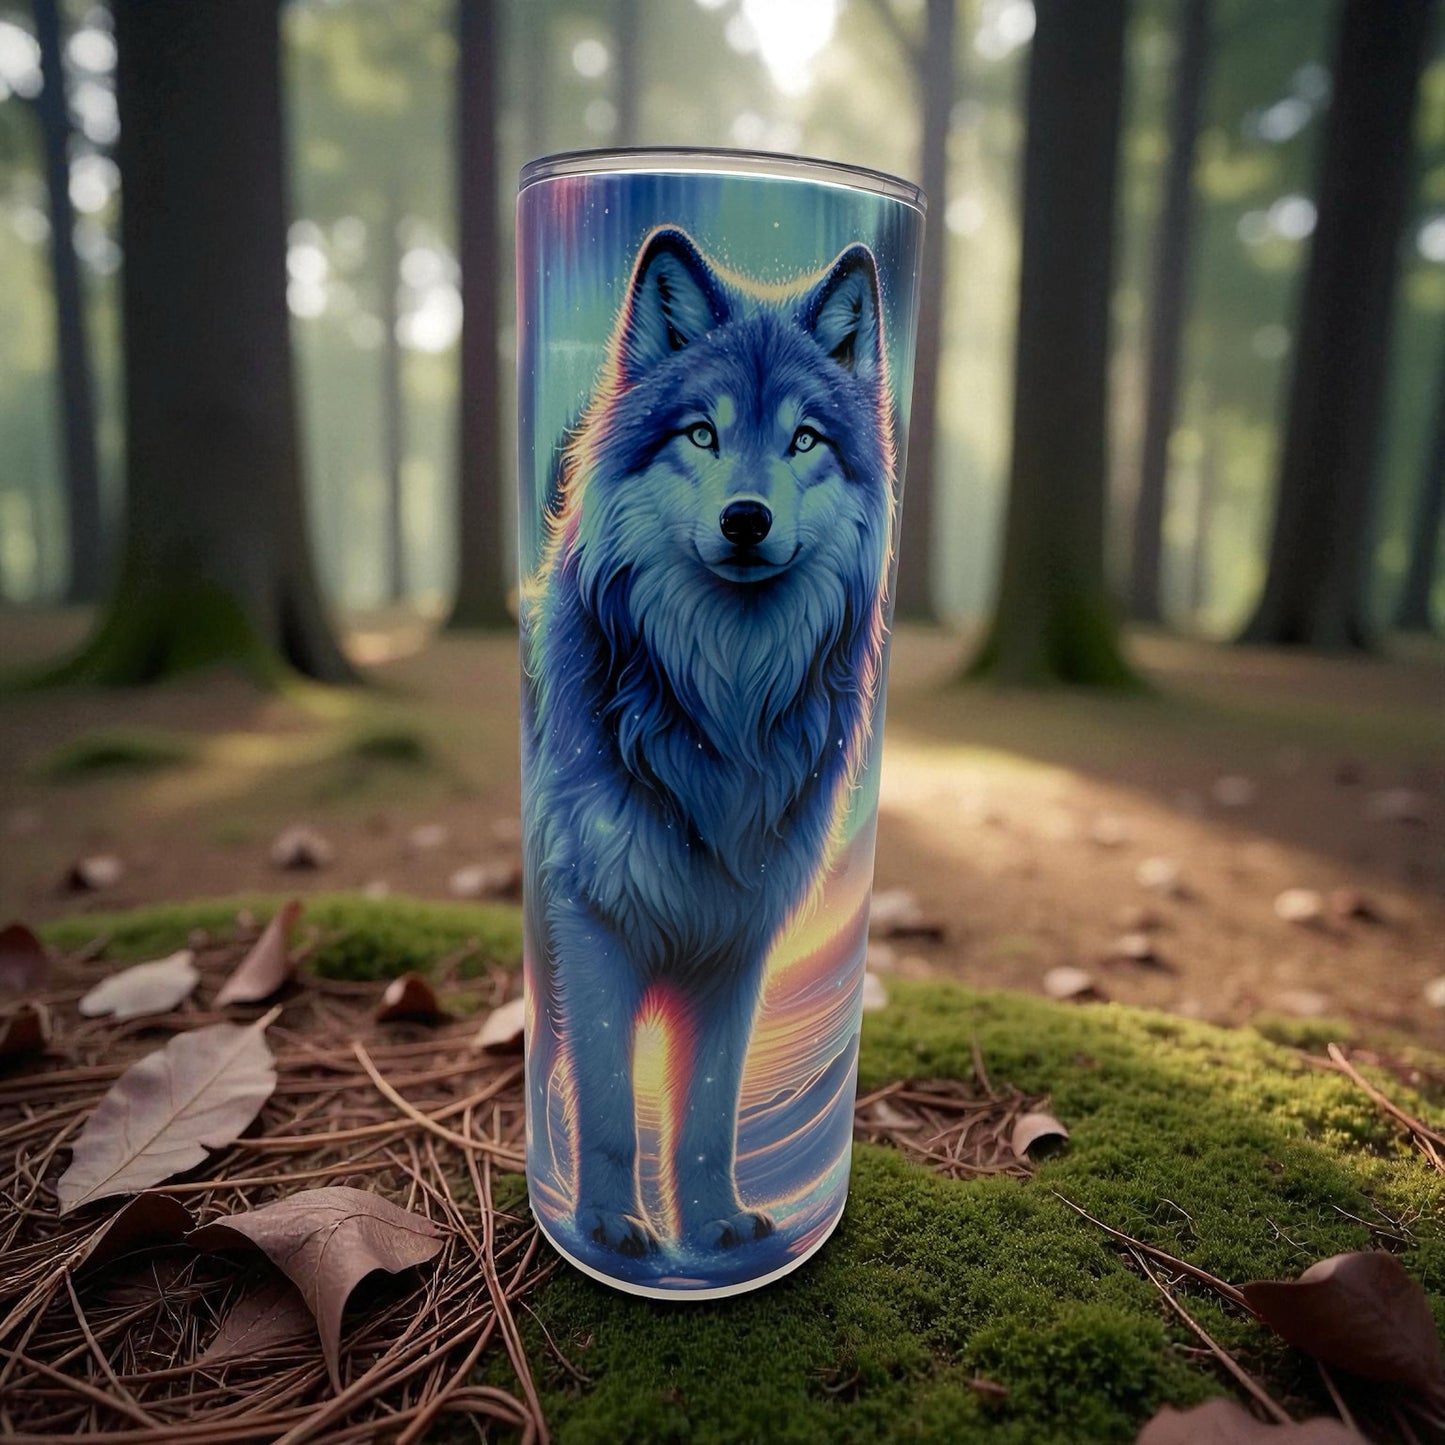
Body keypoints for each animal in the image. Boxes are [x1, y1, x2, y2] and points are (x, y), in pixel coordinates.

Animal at [522, 225, 895, 1258]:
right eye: (702, 433)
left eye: (804, 438)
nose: (745, 519)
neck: (722, 699)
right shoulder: (593, 920)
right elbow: (612, 1104)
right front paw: (609, 1224)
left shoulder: (739, 939)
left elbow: (707, 1112)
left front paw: (715, 1224)